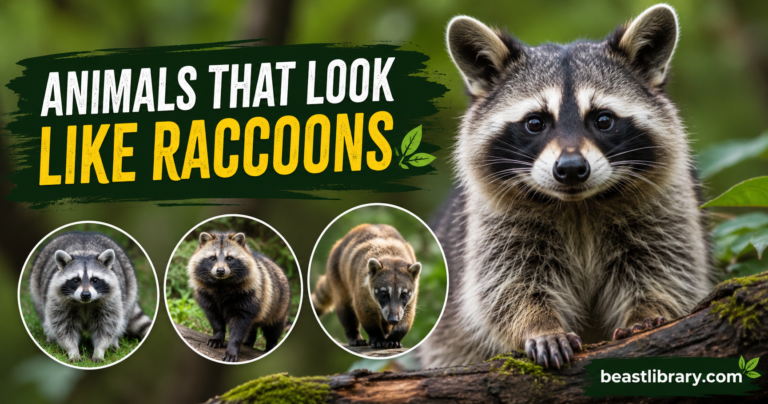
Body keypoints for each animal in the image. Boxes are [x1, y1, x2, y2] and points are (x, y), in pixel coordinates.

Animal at [29, 231, 152, 363]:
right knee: (42, 311)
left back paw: (114, 341)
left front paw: (99, 351)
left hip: (129, 284)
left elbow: (107, 327)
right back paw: (50, 336)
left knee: (123, 315)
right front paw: (73, 351)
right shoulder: (57, 300)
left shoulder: (111, 300)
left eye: (95, 280)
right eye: (75, 280)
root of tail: (84, 233)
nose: (85, 295)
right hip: (37, 283)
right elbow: (63, 327)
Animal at [188, 231, 291, 362]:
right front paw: (217, 336)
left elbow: (239, 327)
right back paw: (249, 340)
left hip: (279, 307)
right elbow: (215, 319)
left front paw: (232, 347)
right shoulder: (207, 298)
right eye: (212, 258)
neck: (221, 283)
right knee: (252, 327)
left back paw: (271, 345)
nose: (220, 271)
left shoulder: (249, 297)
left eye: (229, 258)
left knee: (273, 329)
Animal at [419, 4, 712, 369]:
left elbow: (667, 268)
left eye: (603, 120)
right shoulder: (494, 222)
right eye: (535, 123)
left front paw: (646, 311)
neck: (578, 205)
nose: (571, 169)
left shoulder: (665, 204)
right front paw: (540, 325)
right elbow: (508, 286)